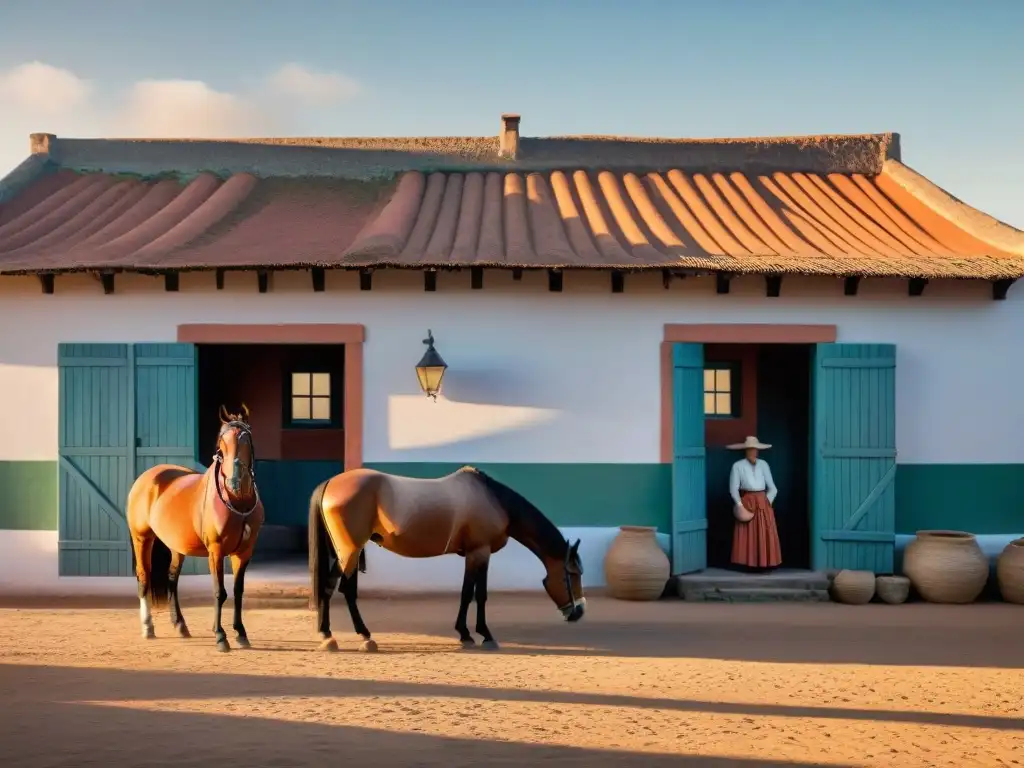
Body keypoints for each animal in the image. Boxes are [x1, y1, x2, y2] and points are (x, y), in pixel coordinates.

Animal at [125, 405, 264, 651]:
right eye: (221, 443)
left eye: (246, 439)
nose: (234, 482)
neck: (237, 501)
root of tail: (146, 477)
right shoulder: (216, 552)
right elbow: (219, 592)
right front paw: (220, 636)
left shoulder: (243, 552)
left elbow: (238, 592)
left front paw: (241, 634)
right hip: (142, 538)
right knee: (144, 578)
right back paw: (148, 627)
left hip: (175, 546)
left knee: (172, 580)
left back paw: (180, 625)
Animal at [307, 466, 585, 651]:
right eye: (571, 574)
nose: (578, 612)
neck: (493, 500)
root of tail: (331, 482)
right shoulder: (479, 552)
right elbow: (475, 594)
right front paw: (480, 635)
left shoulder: (474, 555)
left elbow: (471, 593)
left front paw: (469, 633)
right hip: (350, 551)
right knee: (342, 589)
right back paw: (358, 637)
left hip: (346, 553)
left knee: (334, 588)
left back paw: (332, 635)